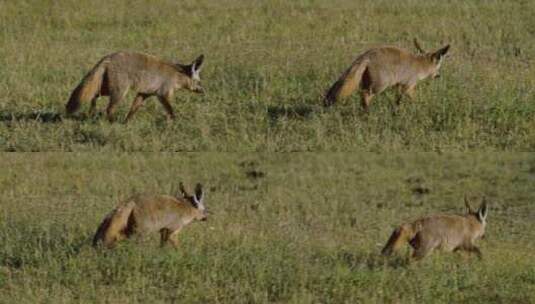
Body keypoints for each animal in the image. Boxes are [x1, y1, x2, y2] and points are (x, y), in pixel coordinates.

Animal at [67, 52, 205, 122]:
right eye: (199, 82)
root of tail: (108, 57)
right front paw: (175, 122)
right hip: (119, 93)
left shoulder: (144, 94)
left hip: (106, 89)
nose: (204, 91)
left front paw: (126, 123)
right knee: (109, 109)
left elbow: (133, 110)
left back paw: (92, 112)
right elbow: (171, 111)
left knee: (94, 96)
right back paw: (111, 122)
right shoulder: (162, 95)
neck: (177, 76)